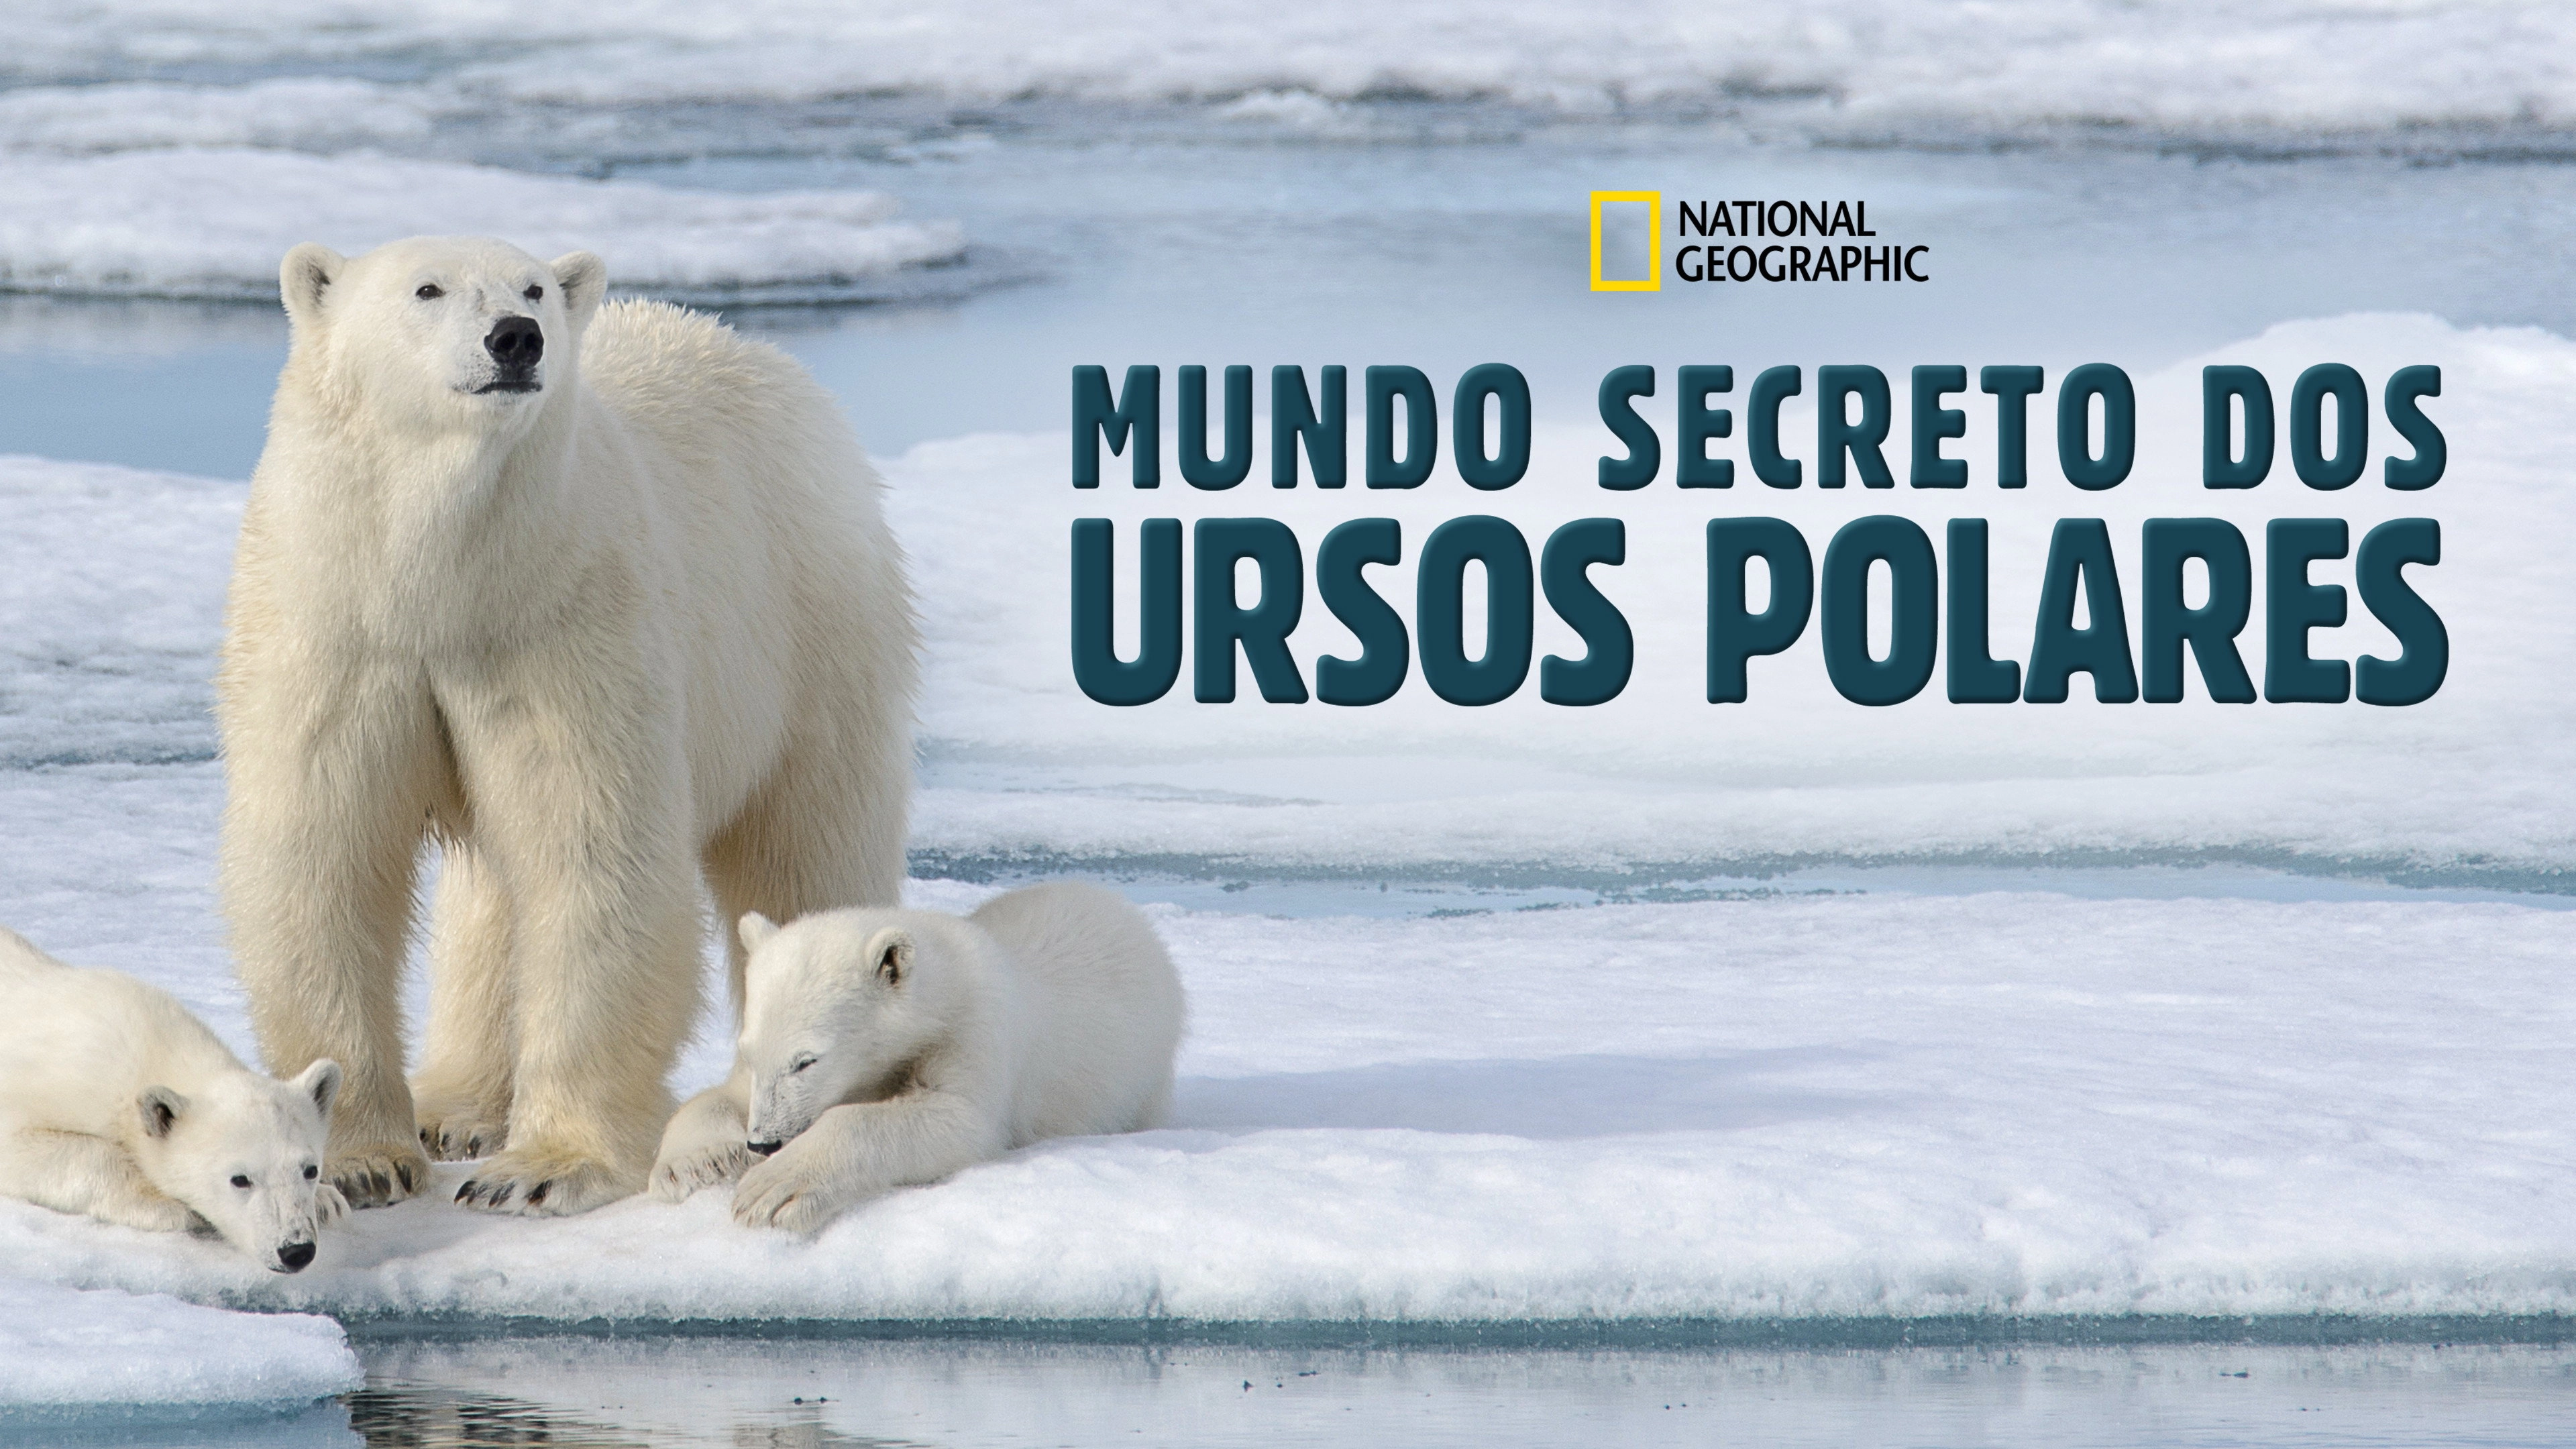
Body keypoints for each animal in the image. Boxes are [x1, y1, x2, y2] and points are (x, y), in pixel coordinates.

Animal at [0, 928, 345, 1272]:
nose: (296, 1250)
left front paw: (328, 1202)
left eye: (310, 1170)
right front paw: (166, 1206)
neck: (146, 1047)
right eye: (240, 1179)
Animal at [218, 236, 916, 1218]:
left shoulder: (564, 622)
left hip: (811, 630)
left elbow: (591, 856)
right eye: (426, 288)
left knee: (804, 846)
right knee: (489, 901)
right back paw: (457, 1108)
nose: (517, 338)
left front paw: (542, 1169)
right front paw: (360, 1163)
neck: (444, 586)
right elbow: (325, 856)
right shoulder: (340, 634)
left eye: (534, 287)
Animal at [650, 882, 1185, 1233]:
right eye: (750, 1052)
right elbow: (717, 1097)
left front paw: (773, 1189)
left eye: (807, 1061)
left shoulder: (974, 1031)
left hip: (1146, 1073)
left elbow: (955, 1119)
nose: (763, 1142)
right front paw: (694, 1164)